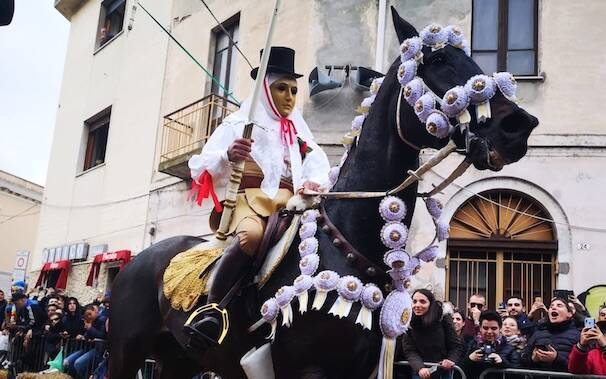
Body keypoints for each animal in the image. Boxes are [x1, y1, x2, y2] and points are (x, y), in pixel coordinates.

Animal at [107, 9, 540, 379]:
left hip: (178, 358)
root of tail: (137, 262)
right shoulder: (309, 369)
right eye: (437, 62)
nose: (518, 126)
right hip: (126, 352)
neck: (347, 241)